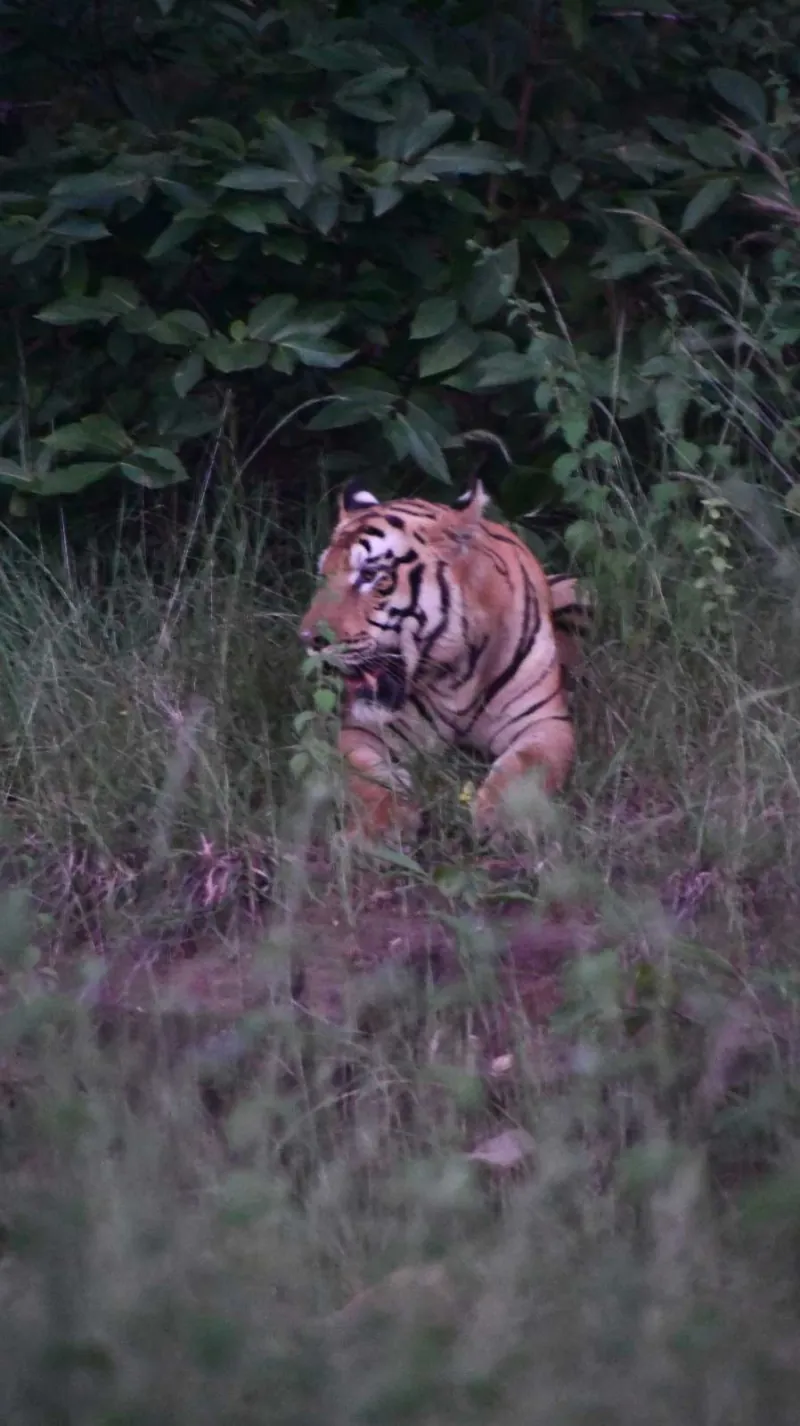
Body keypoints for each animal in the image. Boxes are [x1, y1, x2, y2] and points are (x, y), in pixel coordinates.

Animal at [298, 479, 590, 841]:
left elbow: (523, 768)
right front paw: (383, 826)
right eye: (323, 575)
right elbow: (365, 779)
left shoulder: (546, 724)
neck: (454, 675)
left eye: (368, 575)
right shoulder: (362, 729)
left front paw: (499, 819)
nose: (308, 640)